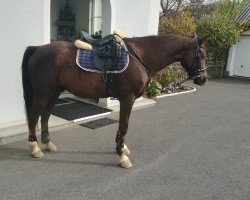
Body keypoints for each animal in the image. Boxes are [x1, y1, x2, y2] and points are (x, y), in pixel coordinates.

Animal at [21, 34, 208, 167]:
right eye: (201, 54)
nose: (203, 79)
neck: (140, 56)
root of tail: (38, 49)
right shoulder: (127, 99)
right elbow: (124, 126)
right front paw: (122, 156)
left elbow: (121, 128)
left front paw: (122, 148)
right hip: (43, 93)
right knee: (33, 115)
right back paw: (35, 148)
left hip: (54, 92)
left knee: (45, 115)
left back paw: (48, 143)